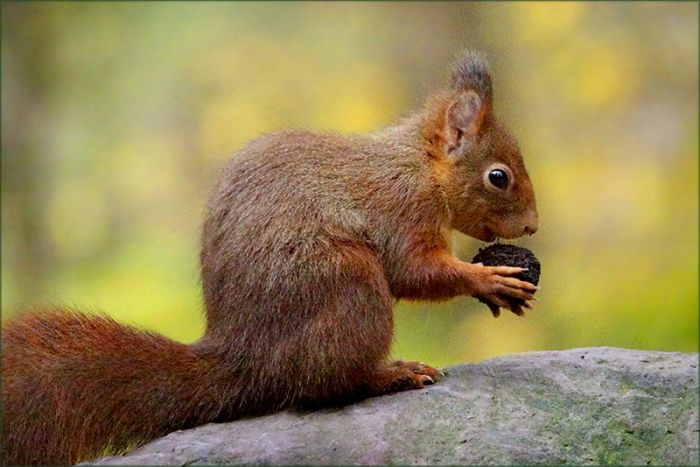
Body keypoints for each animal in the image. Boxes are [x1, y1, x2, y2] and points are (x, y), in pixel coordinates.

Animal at [1, 51, 538, 466]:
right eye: (498, 177)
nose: (533, 225)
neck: (420, 166)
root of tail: (247, 358)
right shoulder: (401, 210)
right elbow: (414, 271)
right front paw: (490, 280)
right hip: (347, 284)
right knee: (324, 386)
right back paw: (391, 374)